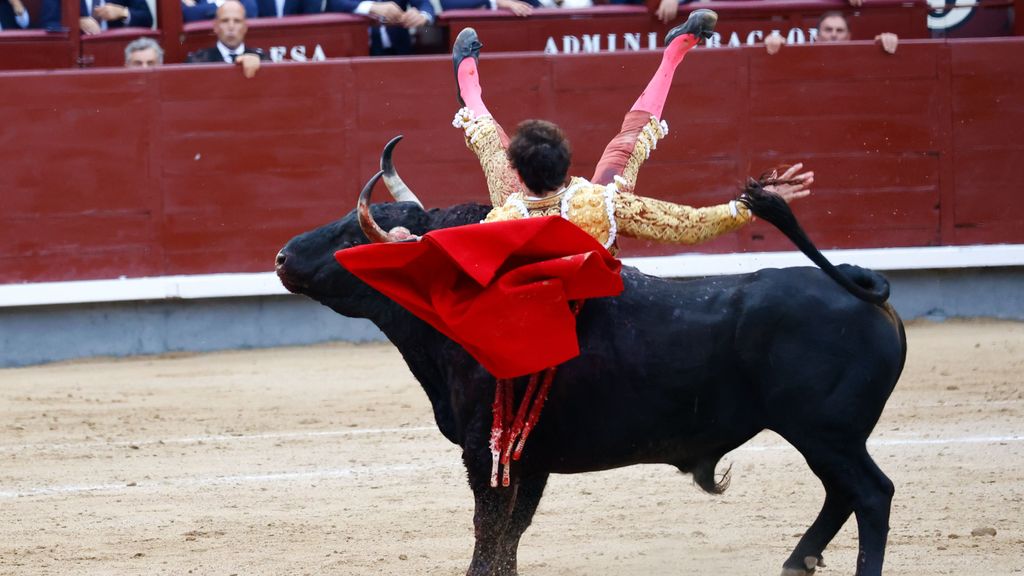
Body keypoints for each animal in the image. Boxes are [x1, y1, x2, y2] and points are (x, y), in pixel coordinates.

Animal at [272, 181, 905, 569]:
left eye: (352, 236)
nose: (281, 256)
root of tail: (857, 280)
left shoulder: (487, 453)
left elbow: (489, 536)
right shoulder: (529, 460)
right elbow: (509, 538)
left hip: (825, 432)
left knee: (871, 495)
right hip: (826, 437)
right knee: (842, 494)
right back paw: (797, 563)